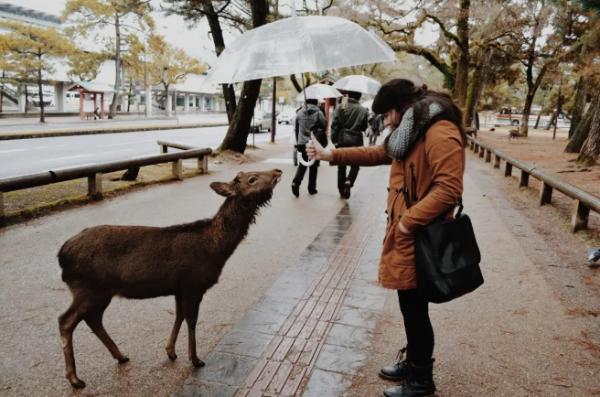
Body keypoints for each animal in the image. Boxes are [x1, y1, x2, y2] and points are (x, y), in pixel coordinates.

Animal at [57, 168, 282, 386]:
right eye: (252, 179)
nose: (277, 171)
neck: (216, 250)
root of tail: (61, 254)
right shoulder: (194, 284)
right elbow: (192, 320)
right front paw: (195, 359)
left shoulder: (179, 287)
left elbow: (179, 315)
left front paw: (171, 352)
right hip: (89, 288)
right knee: (66, 320)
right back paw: (75, 378)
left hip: (98, 292)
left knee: (93, 319)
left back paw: (120, 356)